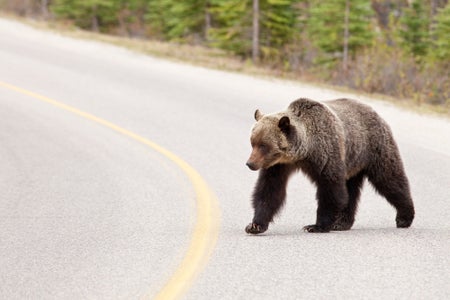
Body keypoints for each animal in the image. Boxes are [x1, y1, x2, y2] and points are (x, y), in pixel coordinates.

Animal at [246, 97, 414, 233]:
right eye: (253, 143)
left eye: (264, 145)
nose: (250, 163)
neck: (304, 152)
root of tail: (374, 111)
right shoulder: (278, 165)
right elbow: (269, 190)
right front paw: (255, 225)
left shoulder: (326, 154)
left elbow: (331, 189)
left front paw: (315, 226)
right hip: (352, 162)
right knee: (351, 191)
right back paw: (342, 223)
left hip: (374, 147)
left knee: (389, 179)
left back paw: (404, 217)